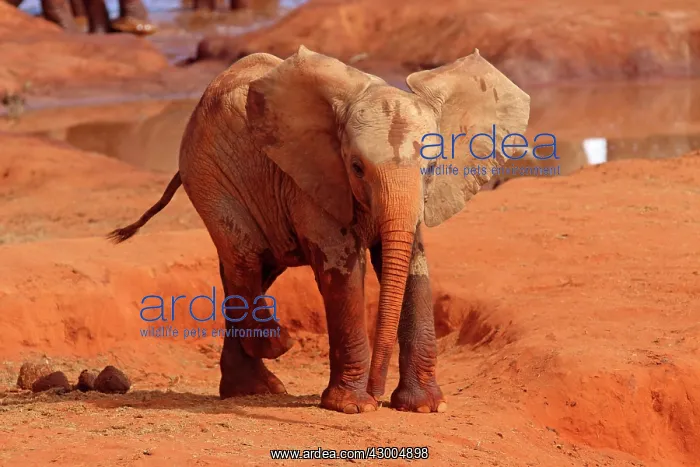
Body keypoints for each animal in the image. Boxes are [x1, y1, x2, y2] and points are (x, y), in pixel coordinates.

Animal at [107, 46, 530, 414]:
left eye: (431, 166)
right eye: (356, 167)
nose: (378, 393)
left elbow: (413, 266)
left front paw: (426, 407)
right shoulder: (311, 179)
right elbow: (342, 271)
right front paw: (353, 407)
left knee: (252, 268)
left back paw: (253, 387)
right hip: (209, 174)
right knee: (244, 257)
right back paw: (276, 346)